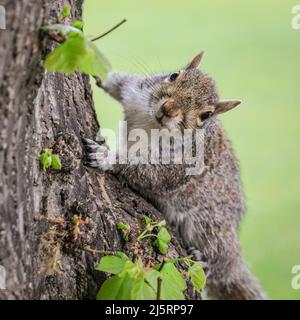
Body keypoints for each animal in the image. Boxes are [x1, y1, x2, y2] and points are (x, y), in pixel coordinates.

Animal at [83, 51, 266, 298]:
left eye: (206, 115)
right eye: (174, 75)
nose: (169, 109)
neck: (153, 123)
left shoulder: (179, 165)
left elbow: (149, 172)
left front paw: (106, 156)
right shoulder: (135, 91)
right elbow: (118, 83)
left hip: (209, 228)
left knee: (217, 265)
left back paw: (204, 261)